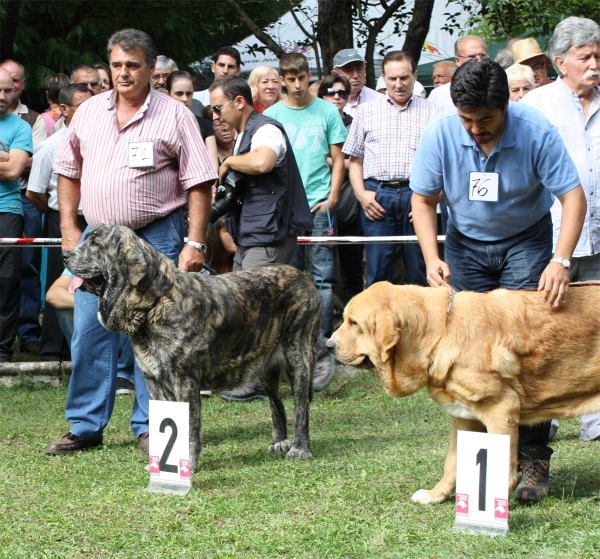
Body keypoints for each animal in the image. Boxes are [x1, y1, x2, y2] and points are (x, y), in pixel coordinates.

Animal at [63, 225, 322, 470]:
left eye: (96, 244)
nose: (65, 255)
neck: (154, 304)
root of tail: (303, 277)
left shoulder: (184, 381)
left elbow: (188, 428)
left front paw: (186, 464)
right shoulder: (155, 383)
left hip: (298, 357)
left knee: (301, 407)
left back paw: (300, 448)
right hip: (264, 367)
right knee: (276, 402)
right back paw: (279, 440)